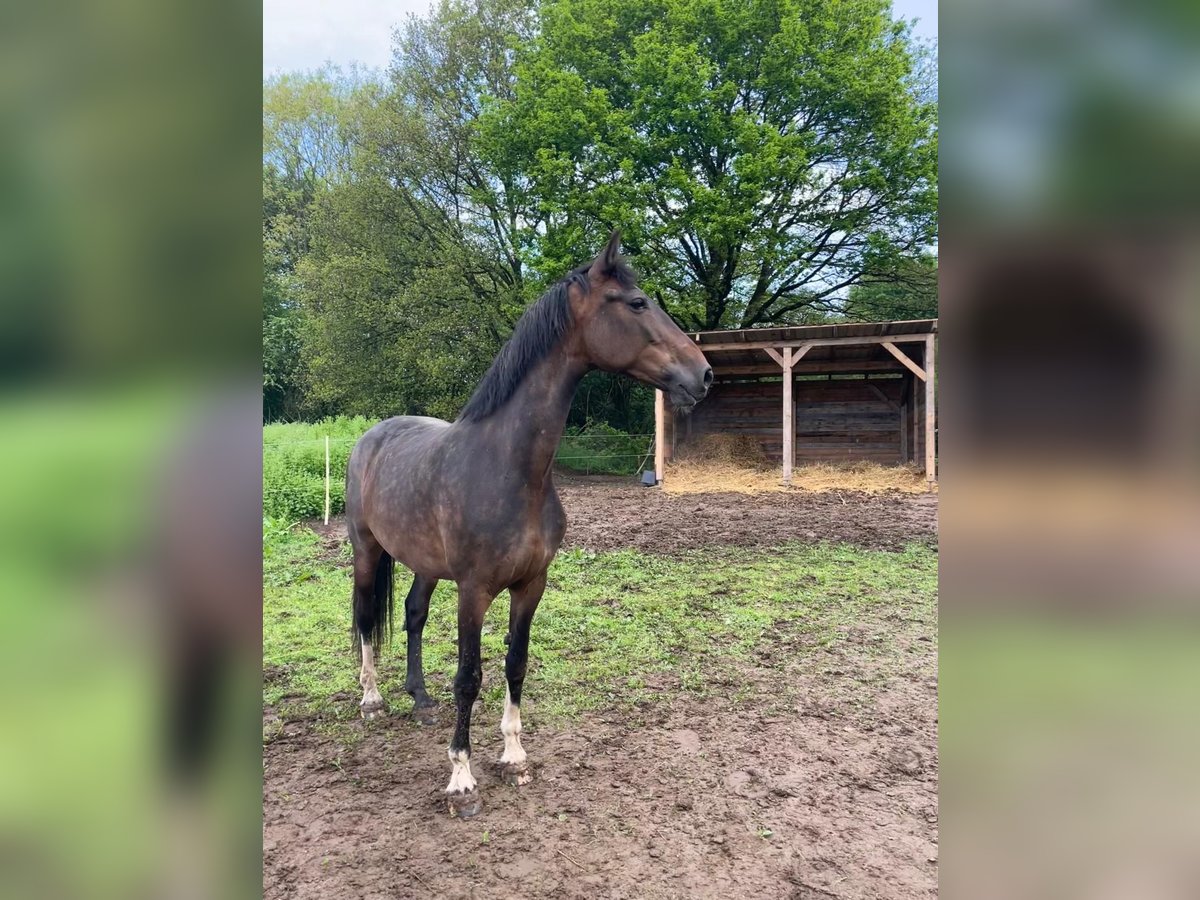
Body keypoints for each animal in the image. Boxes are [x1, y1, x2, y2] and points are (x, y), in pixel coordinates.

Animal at [343, 232, 705, 816]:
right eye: (636, 303)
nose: (704, 373)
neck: (511, 468)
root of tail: (370, 437)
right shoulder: (473, 590)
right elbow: (469, 677)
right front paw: (461, 778)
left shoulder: (531, 584)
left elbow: (516, 662)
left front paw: (513, 754)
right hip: (366, 550)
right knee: (364, 617)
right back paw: (372, 698)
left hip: (425, 564)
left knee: (414, 614)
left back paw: (419, 698)